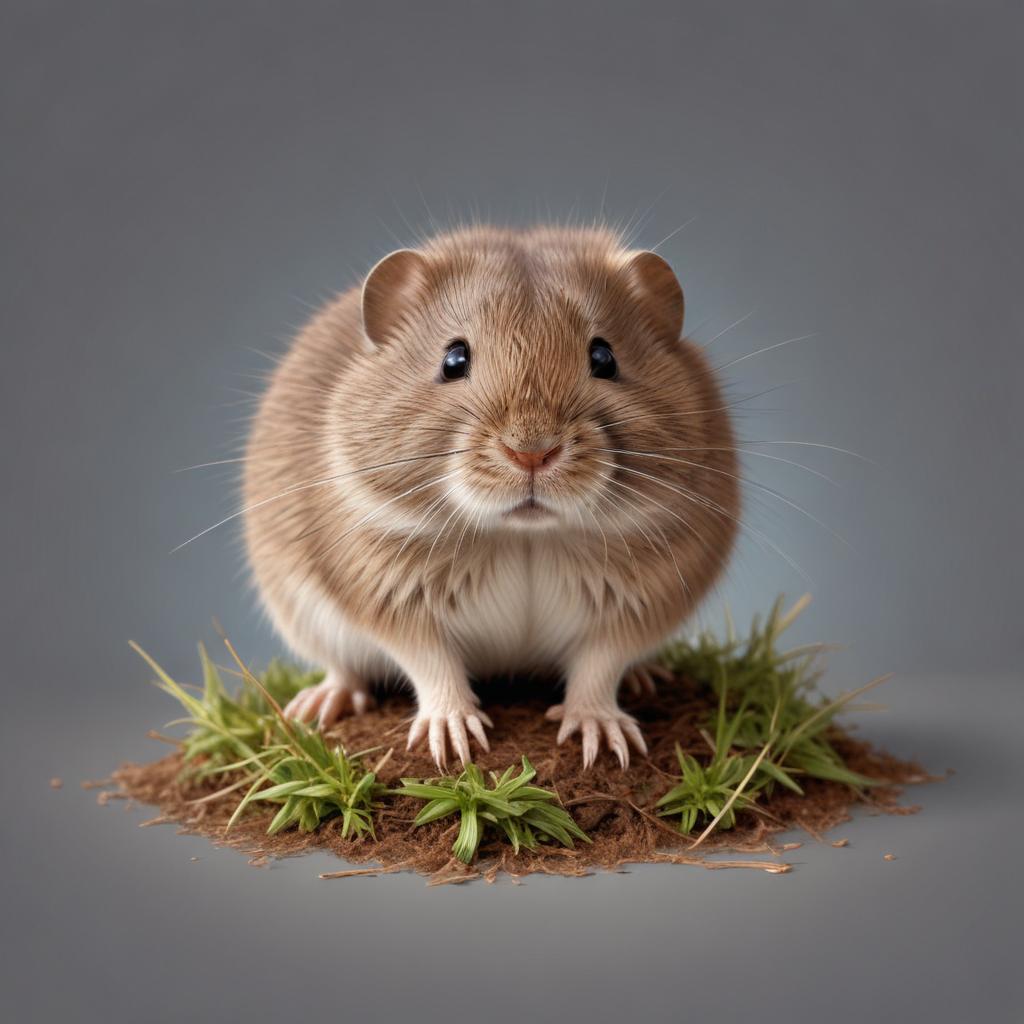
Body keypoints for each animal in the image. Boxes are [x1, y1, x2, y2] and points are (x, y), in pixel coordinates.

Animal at [243, 224, 739, 769]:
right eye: (453, 359)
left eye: (604, 357)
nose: (531, 452)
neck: (523, 536)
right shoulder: (391, 594)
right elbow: (431, 663)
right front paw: (453, 739)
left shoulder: (641, 601)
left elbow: (599, 665)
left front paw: (600, 735)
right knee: (344, 669)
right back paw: (322, 703)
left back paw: (646, 677)